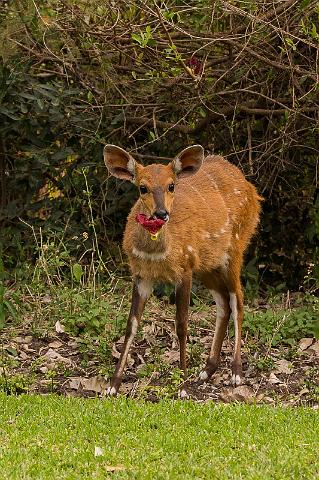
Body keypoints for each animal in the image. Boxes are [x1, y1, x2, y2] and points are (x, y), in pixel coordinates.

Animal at [104, 144, 262, 396]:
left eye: (171, 185)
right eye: (142, 187)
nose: (161, 214)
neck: (157, 252)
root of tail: (251, 189)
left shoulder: (184, 268)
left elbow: (181, 325)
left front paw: (182, 387)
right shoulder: (140, 275)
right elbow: (131, 325)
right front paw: (113, 386)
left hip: (235, 247)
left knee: (237, 299)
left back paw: (236, 372)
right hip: (207, 264)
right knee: (223, 303)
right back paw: (207, 370)